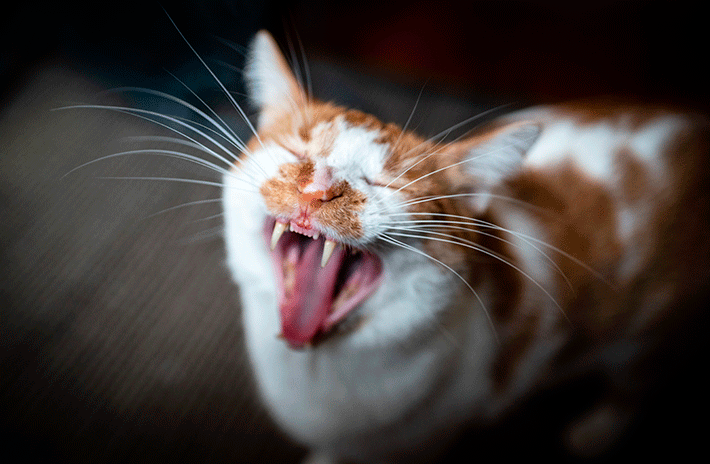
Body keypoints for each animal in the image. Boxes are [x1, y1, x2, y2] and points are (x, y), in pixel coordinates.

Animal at [220, 30, 708, 462]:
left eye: (384, 182)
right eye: (294, 152)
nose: (318, 189)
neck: (320, 367)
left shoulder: (428, 438)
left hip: (651, 328)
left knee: (638, 380)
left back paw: (597, 430)